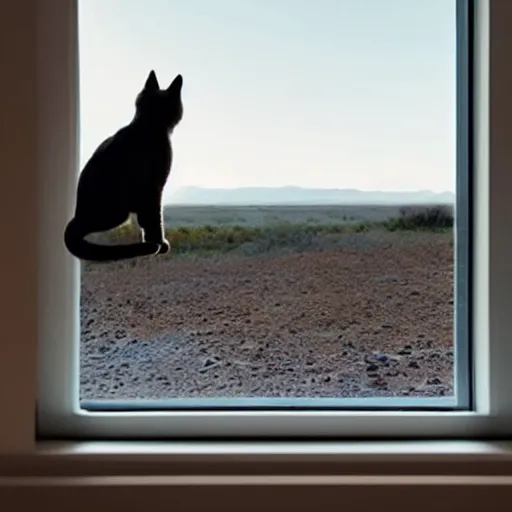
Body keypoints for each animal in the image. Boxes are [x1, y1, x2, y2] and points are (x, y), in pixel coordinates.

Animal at [64, 70, 184, 262]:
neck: (147, 125)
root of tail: (77, 215)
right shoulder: (155, 188)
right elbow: (155, 219)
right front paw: (158, 243)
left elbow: (146, 220)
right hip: (118, 212)